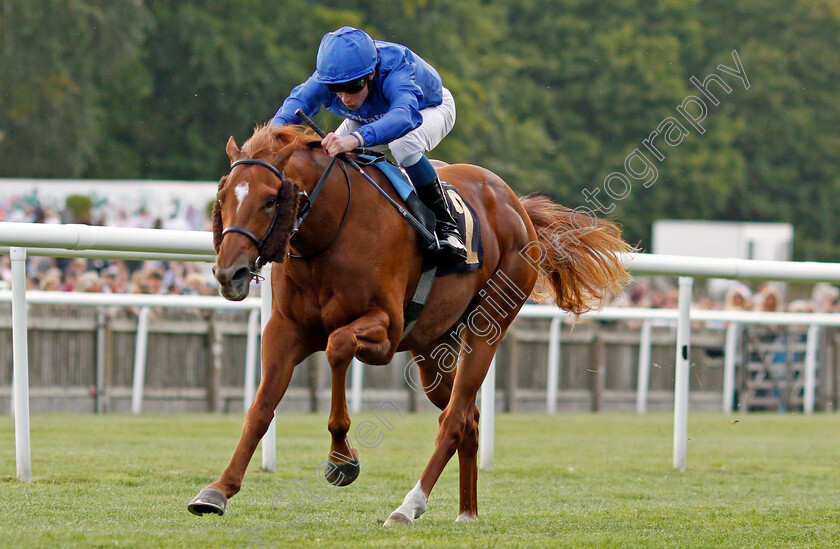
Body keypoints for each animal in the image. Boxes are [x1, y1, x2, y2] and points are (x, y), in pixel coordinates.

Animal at [185, 123, 632, 524]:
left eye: (268, 200)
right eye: (223, 196)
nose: (229, 273)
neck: (330, 232)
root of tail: (516, 204)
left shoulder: (385, 332)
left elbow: (337, 347)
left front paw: (341, 459)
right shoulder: (285, 331)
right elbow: (261, 408)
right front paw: (217, 490)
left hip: (489, 323)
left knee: (454, 418)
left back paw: (409, 505)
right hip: (431, 348)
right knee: (467, 415)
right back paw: (466, 512)